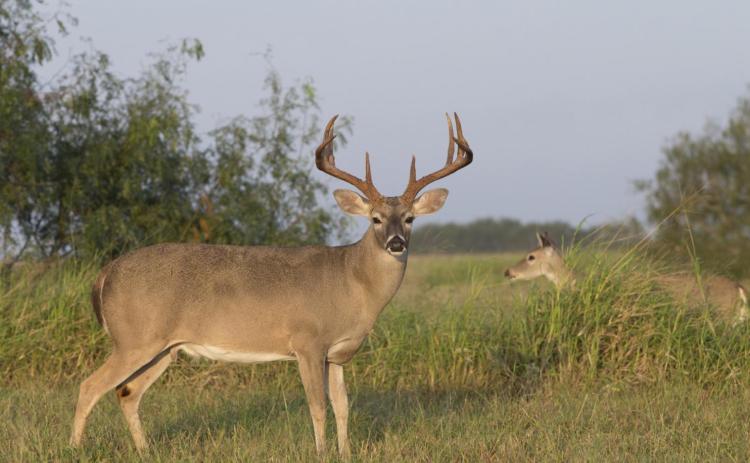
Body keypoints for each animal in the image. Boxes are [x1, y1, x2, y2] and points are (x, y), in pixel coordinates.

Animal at [69, 113, 473, 457]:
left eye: (409, 219)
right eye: (375, 219)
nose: (396, 243)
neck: (351, 280)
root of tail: (105, 274)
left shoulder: (337, 353)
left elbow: (343, 405)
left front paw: (346, 453)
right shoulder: (307, 341)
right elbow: (318, 405)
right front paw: (321, 453)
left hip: (164, 348)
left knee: (127, 392)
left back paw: (145, 450)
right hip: (134, 339)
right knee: (90, 386)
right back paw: (75, 448)